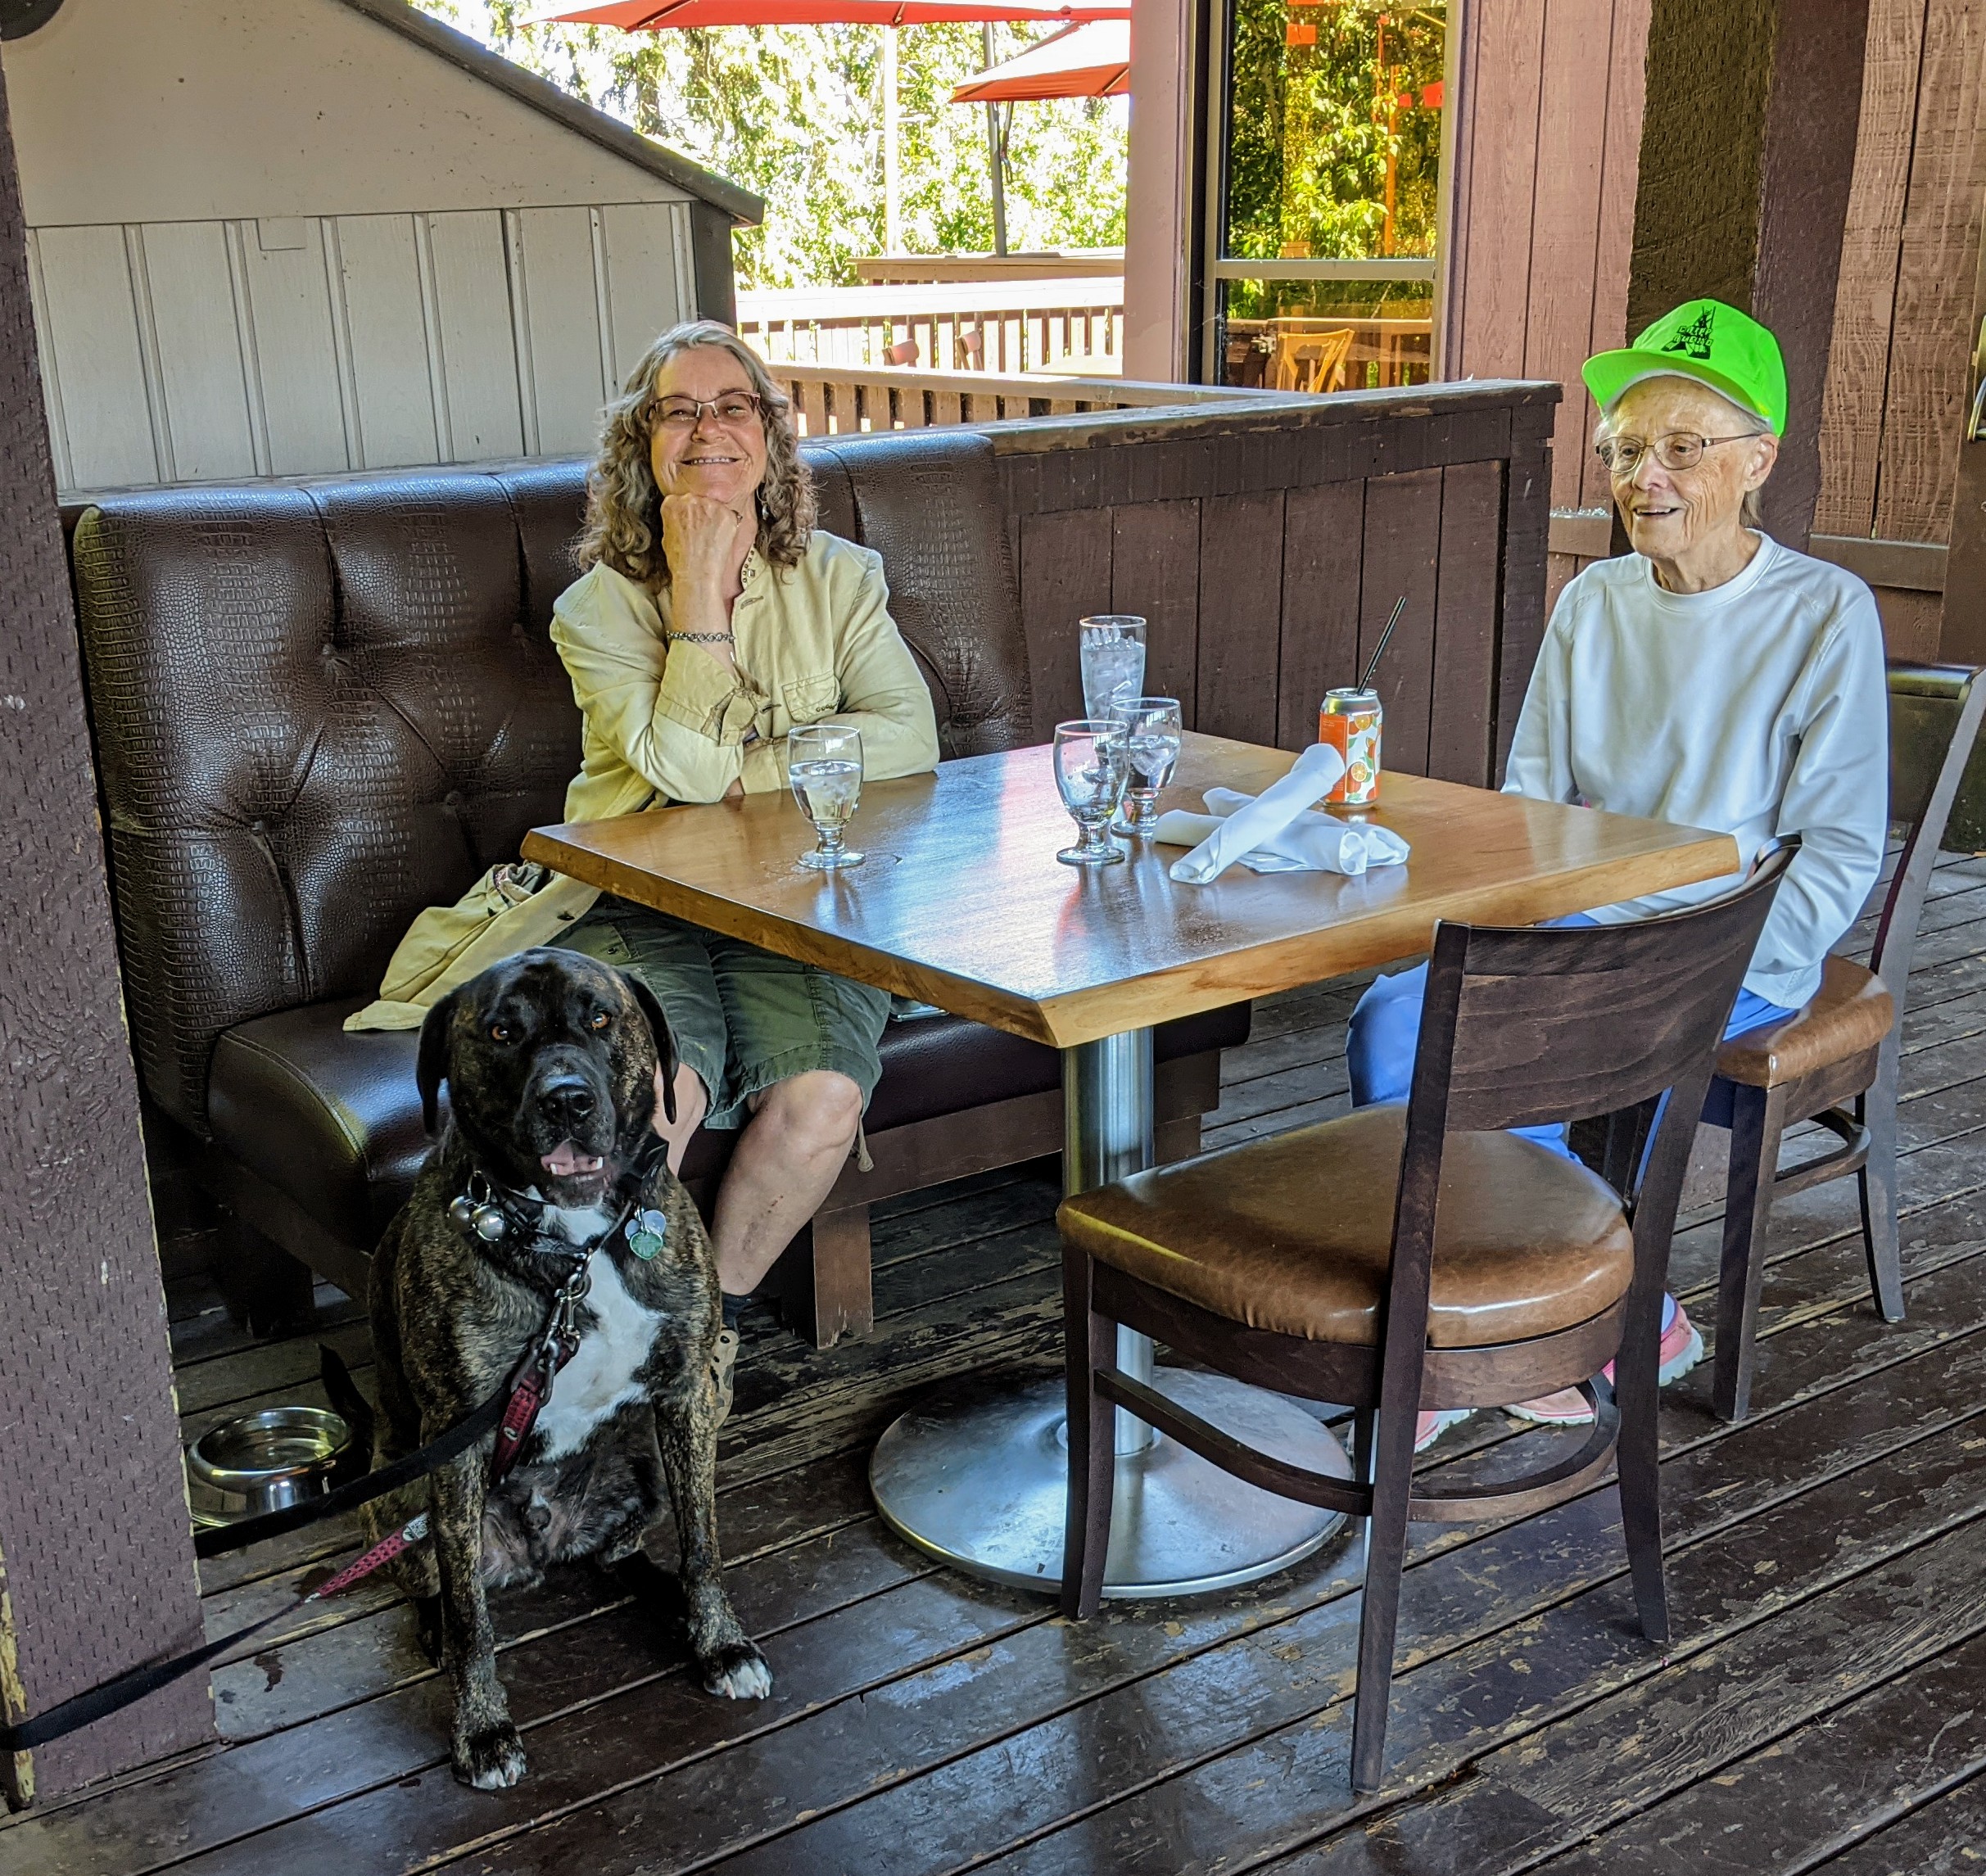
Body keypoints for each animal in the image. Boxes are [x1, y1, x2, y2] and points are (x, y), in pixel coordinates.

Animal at [357, 952, 767, 1786]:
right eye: (500, 1031)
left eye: (601, 1018)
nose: (567, 1099)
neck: (574, 1241)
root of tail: (539, 1547)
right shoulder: (456, 1440)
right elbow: (472, 1619)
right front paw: (482, 1729)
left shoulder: (686, 1395)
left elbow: (704, 1545)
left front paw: (719, 1643)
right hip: (402, 1491)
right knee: (439, 1585)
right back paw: (435, 1628)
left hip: (646, 1451)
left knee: (619, 1550)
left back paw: (660, 1589)